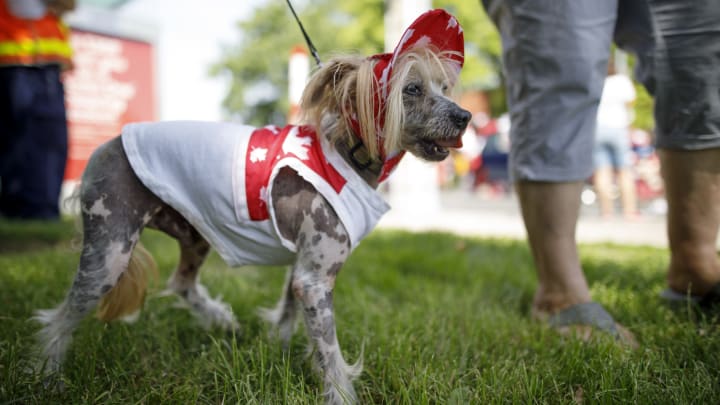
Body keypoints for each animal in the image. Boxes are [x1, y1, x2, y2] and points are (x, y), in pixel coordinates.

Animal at [36, 9, 470, 404]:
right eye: (411, 90)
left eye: (444, 87)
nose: (464, 116)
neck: (348, 151)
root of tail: (106, 144)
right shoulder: (315, 278)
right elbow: (330, 350)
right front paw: (340, 393)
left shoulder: (301, 268)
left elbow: (289, 313)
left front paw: (280, 346)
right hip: (110, 249)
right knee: (61, 315)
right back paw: (47, 374)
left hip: (194, 234)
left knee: (181, 282)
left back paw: (221, 321)